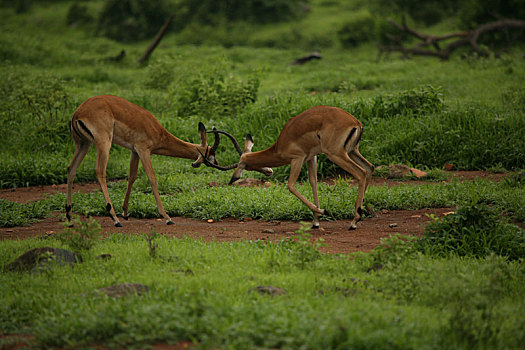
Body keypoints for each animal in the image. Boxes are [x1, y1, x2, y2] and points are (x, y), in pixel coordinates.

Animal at [65, 95, 221, 227]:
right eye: (211, 152)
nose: (217, 164)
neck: (156, 130)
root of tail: (77, 114)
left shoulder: (134, 151)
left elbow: (132, 177)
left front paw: (125, 212)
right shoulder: (144, 150)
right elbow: (152, 178)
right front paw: (167, 217)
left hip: (83, 144)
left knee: (71, 168)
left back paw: (69, 217)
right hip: (103, 144)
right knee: (100, 171)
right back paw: (114, 219)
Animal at [204, 105, 372, 230]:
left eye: (248, 167)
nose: (269, 171)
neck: (280, 145)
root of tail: (355, 122)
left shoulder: (297, 158)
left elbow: (291, 186)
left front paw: (323, 211)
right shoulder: (311, 157)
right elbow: (313, 182)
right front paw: (316, 221)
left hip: (336, 154)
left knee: (361, 173)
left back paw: (354, 221)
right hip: (352, 151)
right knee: (369, 168)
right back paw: (362, 213)